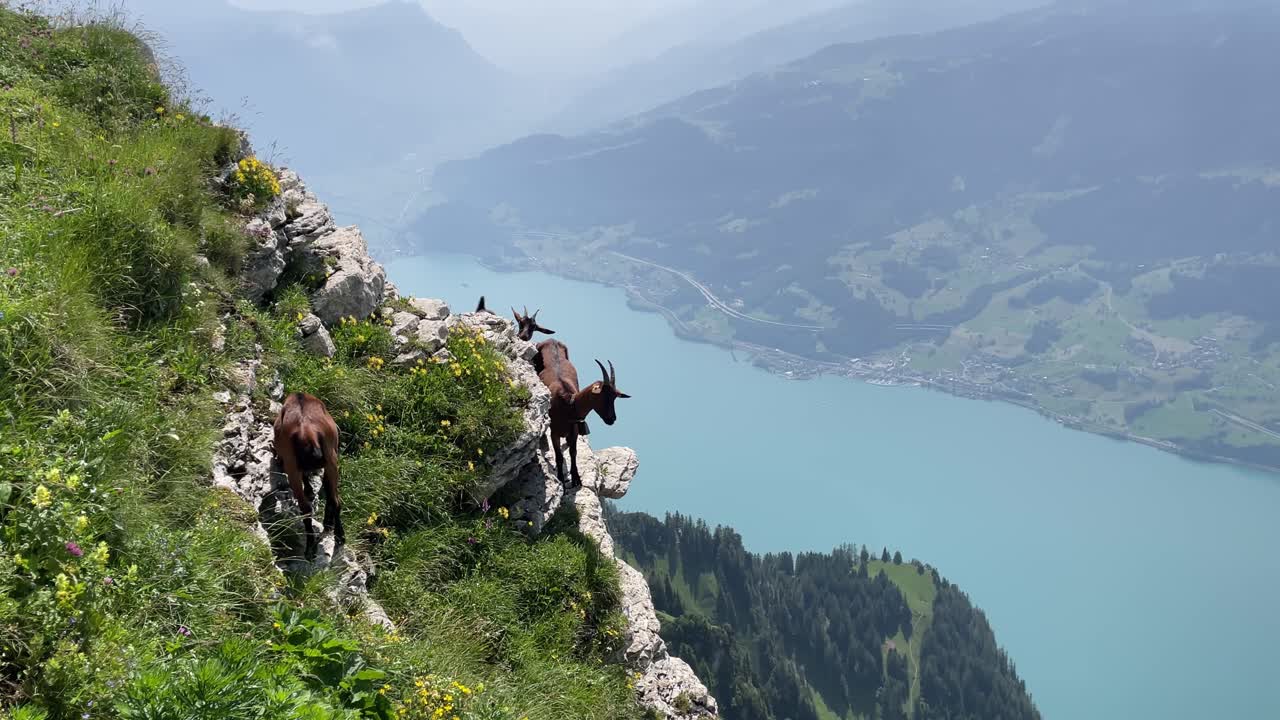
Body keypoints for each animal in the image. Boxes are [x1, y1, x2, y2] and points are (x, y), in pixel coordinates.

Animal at [273, 392, 344, 560]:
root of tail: (308, 432)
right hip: (331, 459)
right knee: (335, 500)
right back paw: (339, 535)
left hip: (292, 464)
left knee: (305, 508)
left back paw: (310, 548)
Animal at [535, 340, 630, 488]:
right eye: (603, 396)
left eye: (615, 397)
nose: (612, 419)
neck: (568, 404)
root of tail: (551, 341)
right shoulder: (554, 432)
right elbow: (559, 456)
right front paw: (561, 479)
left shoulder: (573, 432)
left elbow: (573, 452)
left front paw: (576, 478)